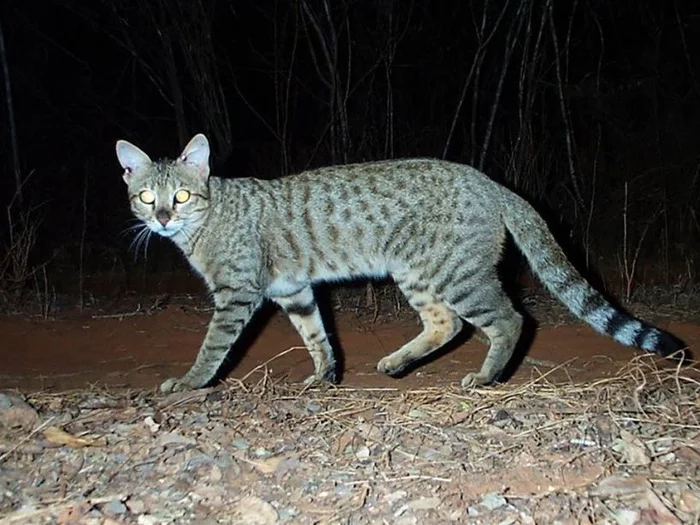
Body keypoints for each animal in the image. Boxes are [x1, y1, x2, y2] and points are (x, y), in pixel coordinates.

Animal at [113, 133, 684, 390]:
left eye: (181, 196)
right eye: (146, 197)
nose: (161, 218)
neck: (205, 222)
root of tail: (492, 182)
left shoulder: (238, 292)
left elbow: (213, 347)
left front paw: (190, 383)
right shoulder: (293, 290)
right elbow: (317, 335)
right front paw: (325, 376)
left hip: (454, 274)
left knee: (510, 318)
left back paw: (486, 376)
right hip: (419, 274)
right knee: (447, 324)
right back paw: (397, 362)